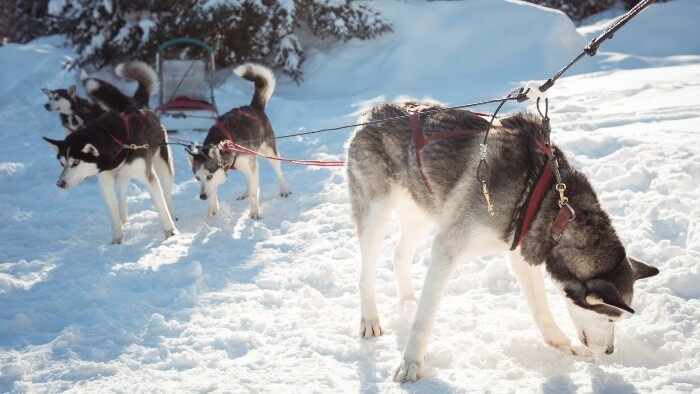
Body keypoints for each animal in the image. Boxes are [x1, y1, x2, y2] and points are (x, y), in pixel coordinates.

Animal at [44, 107, 178, 243]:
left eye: (76, 162)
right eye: (62, 164)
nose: (60, 183)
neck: (116, 141)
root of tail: (146, 111)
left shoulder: (148, 177)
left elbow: (161, 207)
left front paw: (170, 231)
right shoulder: (105, 180)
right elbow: (112, 212)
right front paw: (116, 240)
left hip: (164, 167)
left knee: (166, 193)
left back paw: (172, 214)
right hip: (123, 176)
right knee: (122, 192)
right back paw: (122, 216)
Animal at [186, 63, 290, 220]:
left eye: (209, 176)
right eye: (197, 178)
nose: (202, 197)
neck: (223, 141)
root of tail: (254, 107)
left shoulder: (250, 166)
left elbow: (254, 193)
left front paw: (254, 213)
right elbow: (214, 190)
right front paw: (212, 207)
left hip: (269, 152)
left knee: (277, 171)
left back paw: (284, 190)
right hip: (244, 164)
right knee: (248, 178)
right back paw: (245, 193)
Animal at [348, 101, 660, 382]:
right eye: (610, 318)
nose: (609, 352)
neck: (554, 205)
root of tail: (373, 112)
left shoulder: (521, 251)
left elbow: (541, 310)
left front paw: (562, 345)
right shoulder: (447, 249)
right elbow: (424, 321)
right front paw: (411, 364)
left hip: (422, 214)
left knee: (399, 255)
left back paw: (408, 299)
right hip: (377, 213)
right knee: (365, 274)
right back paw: (370, 321)